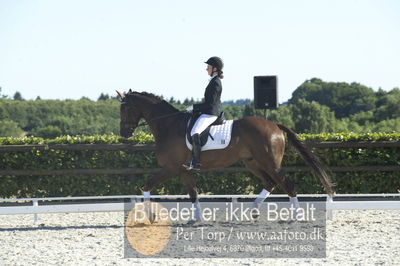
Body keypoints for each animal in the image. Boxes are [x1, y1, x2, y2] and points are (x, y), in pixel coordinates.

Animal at [118, 90, 334, 221]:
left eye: (125, 108)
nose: (124, 134)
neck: (169, 125)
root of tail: (274, 125)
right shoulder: (184, 171)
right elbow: (193, 193)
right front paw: (196, 218)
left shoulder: (171, 168)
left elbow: (146, 185)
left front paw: (148, 216)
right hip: (252, 163)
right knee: (270, 183)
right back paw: (252, 210)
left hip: (270, 163)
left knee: (287, 184)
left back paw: (296, 215)